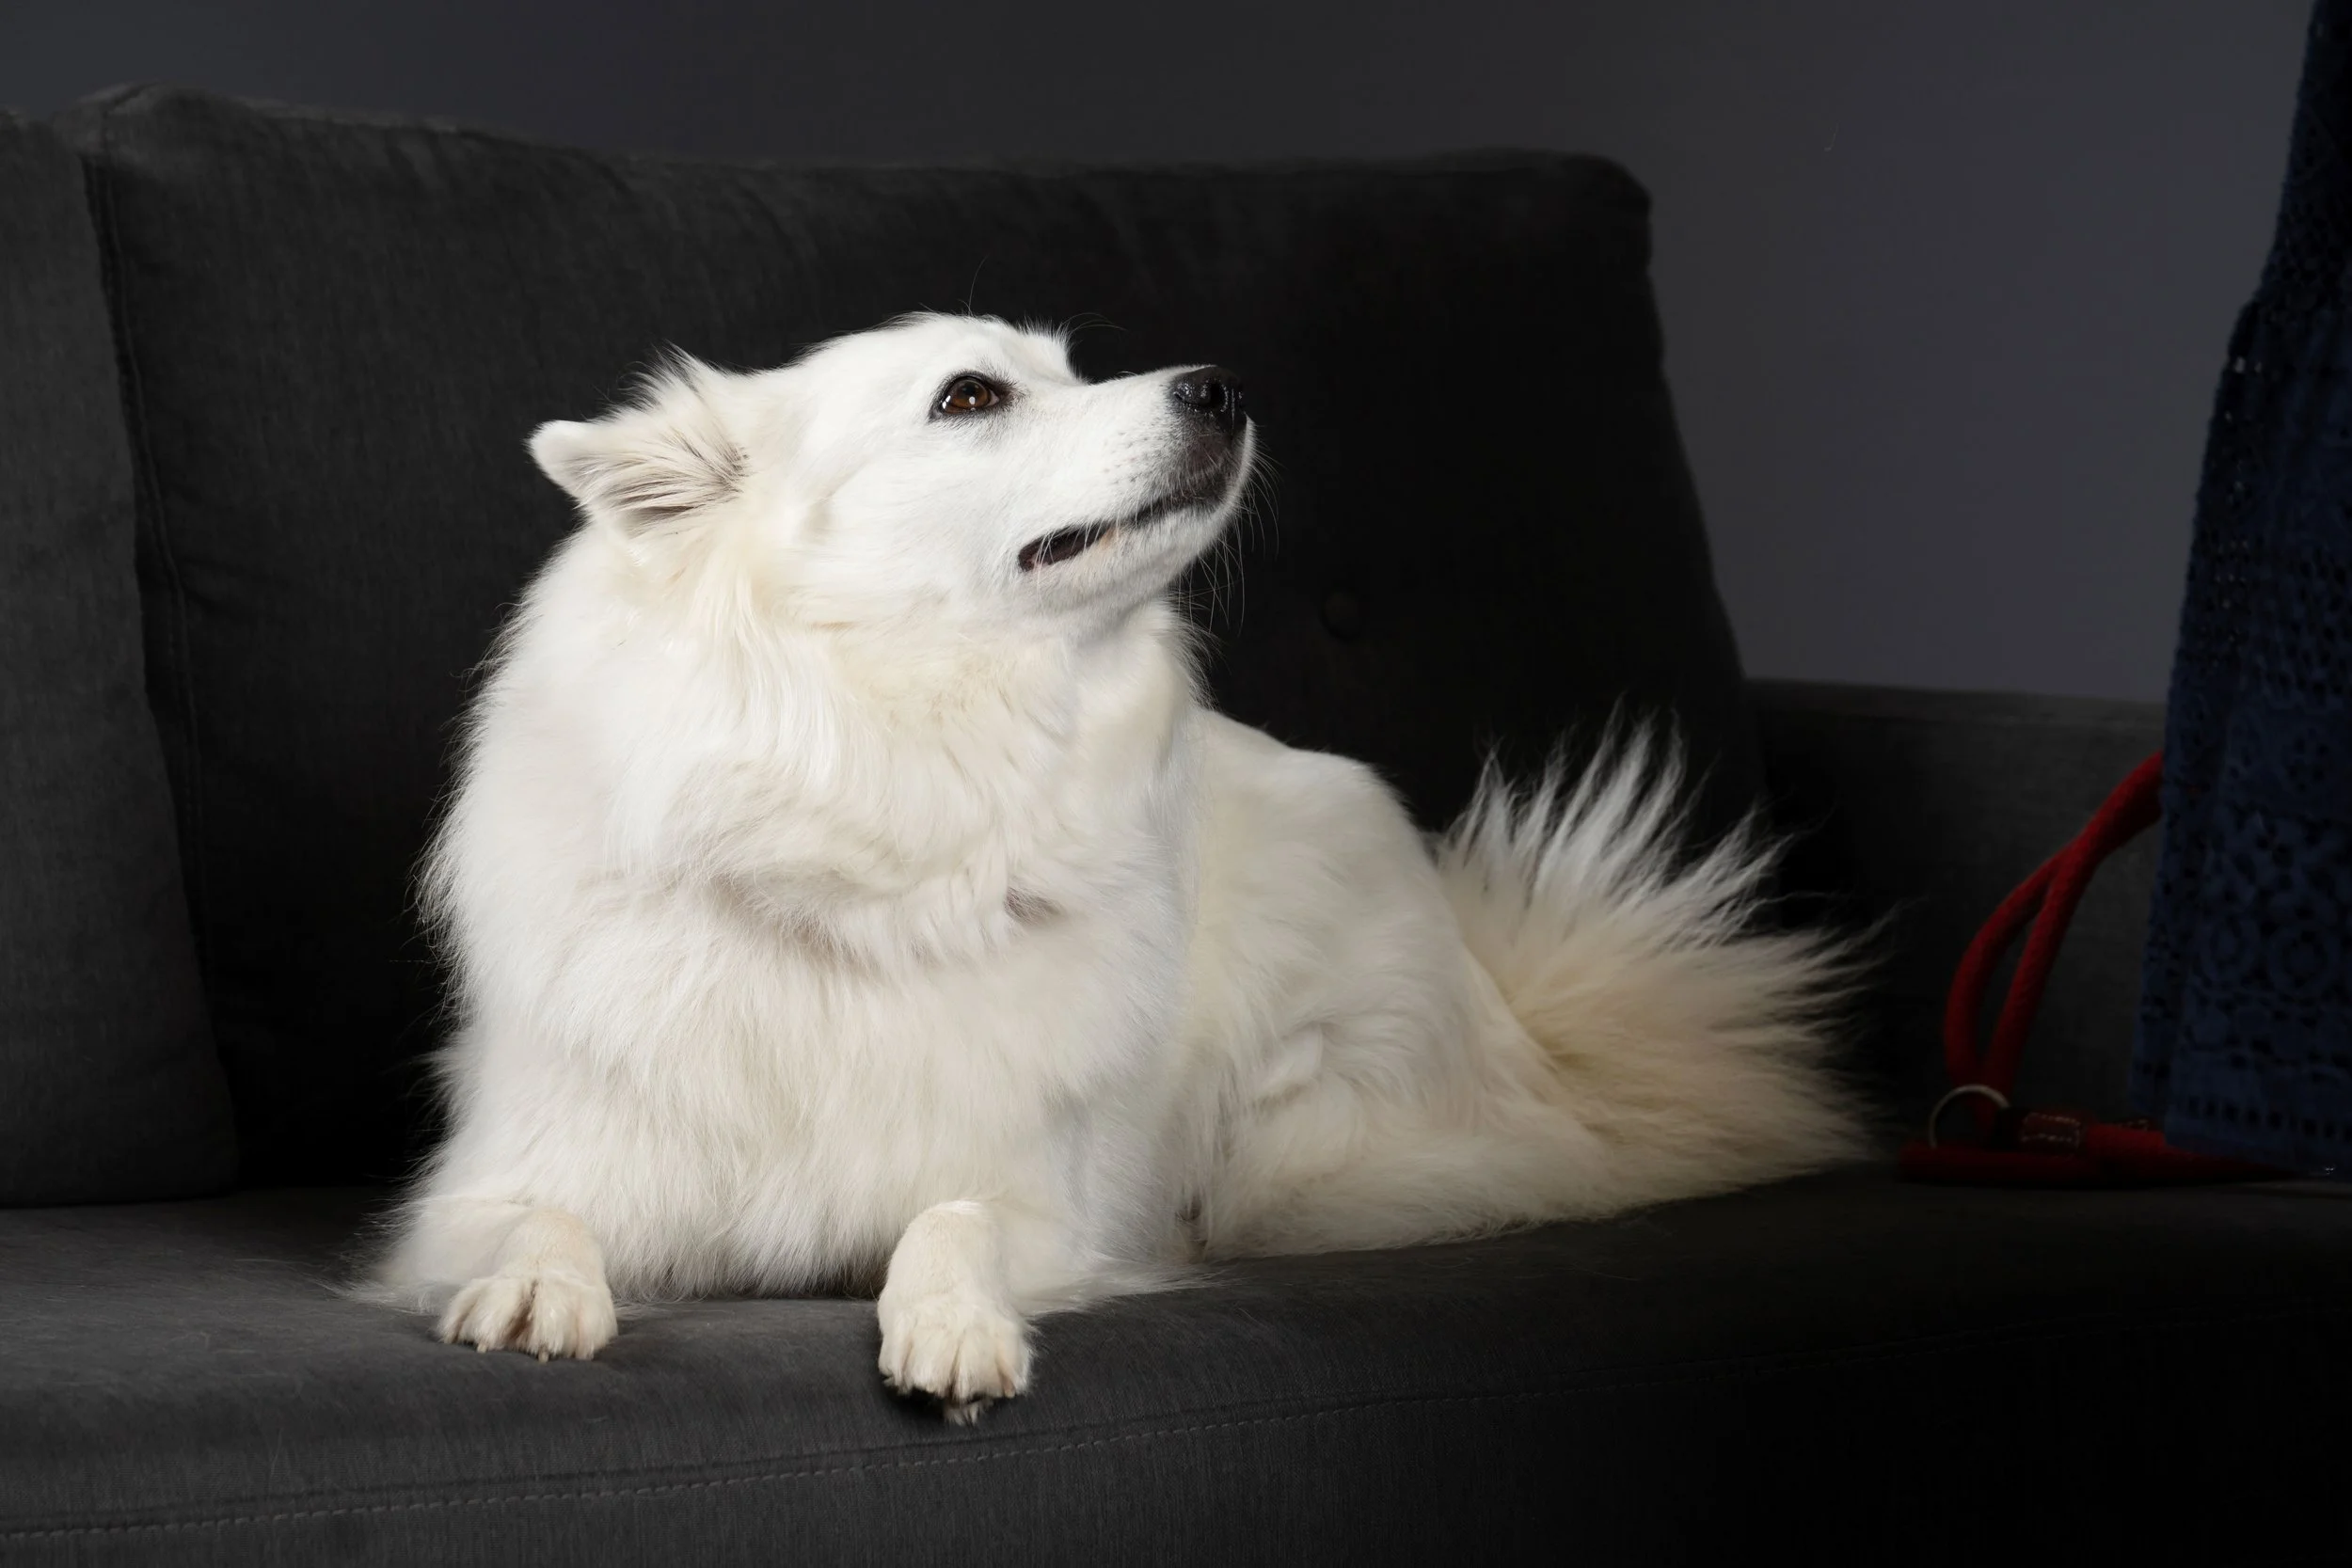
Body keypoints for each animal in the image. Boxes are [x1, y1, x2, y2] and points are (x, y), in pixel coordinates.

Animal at [374, 313, 1862, 1420]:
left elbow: (955, 1217)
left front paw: (954, 1319)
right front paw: (537, 1290)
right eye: (971, 395)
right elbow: (536, 1218)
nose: (1223, 385)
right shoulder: (488, 1186)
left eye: (1068, 365)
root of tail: (1527, 1023)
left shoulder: (1038, 1189)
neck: (883, 814)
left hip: (1310, 1143)